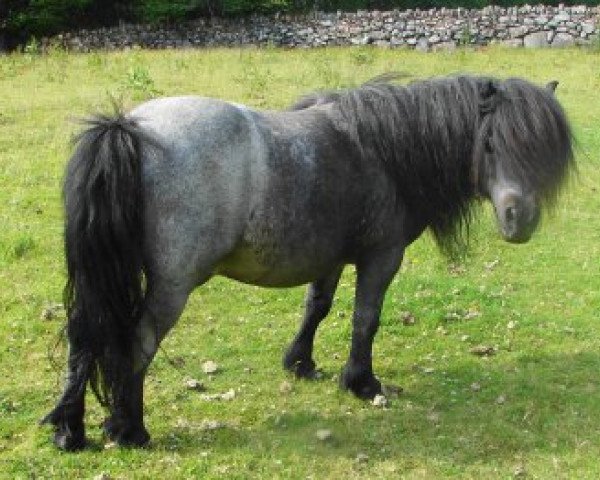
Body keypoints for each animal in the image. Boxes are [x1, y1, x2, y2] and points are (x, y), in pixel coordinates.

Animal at [39, 74, 576, 450]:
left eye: (543, 150)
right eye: (490, 143)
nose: (520, 220)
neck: (387, 150)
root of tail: (127, 127)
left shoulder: (329, 256)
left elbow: (316, 306)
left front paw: (301, 363)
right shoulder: (381, 257)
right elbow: (365, 319)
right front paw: (361, 382)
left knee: (84, 335)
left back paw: (70, 430)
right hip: (172, 286)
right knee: (137, 343)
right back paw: (129, 429)